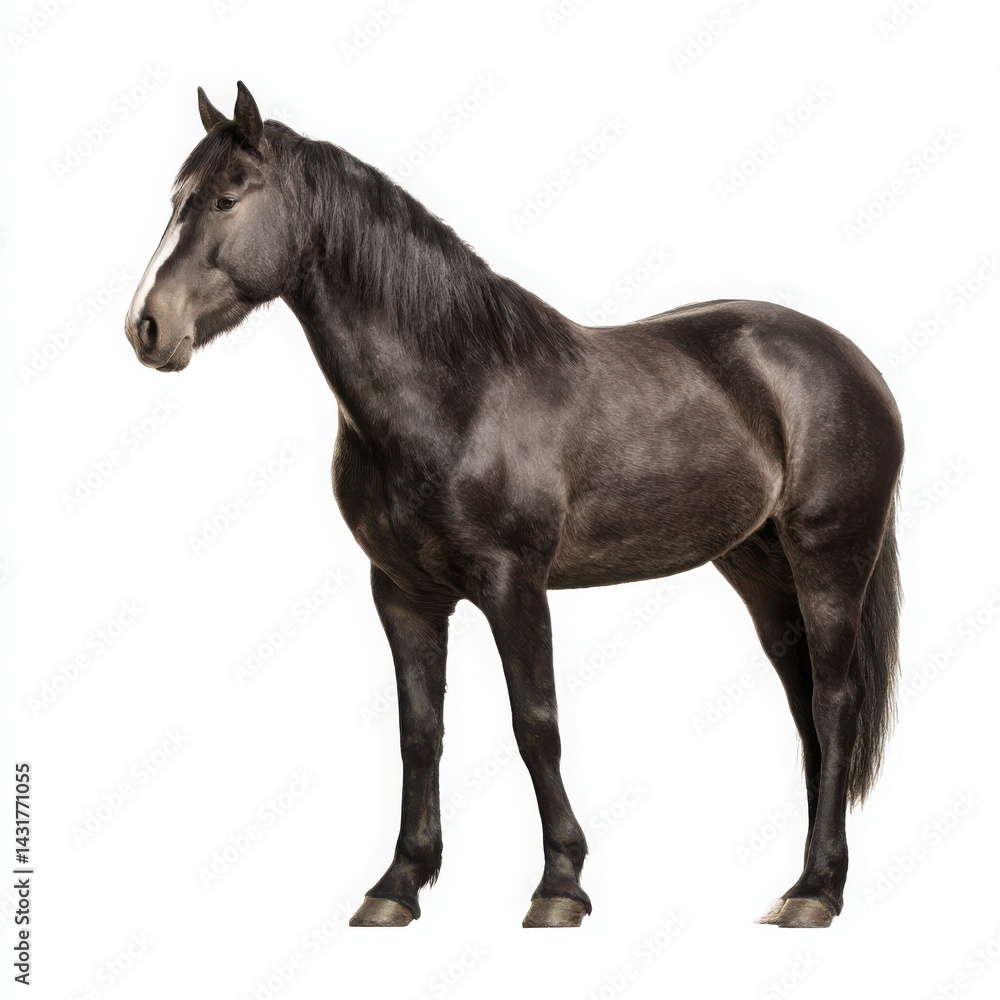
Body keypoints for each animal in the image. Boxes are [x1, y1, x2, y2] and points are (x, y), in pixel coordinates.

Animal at [124, 82, 903, 930]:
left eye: (226, 199)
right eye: (175, 200)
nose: (147, 326)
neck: (456, 386)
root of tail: (850, 360)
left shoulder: (514, 585)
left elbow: (536, 725)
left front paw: (559, 885)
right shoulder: (402, 594)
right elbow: (419, 733)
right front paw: (398, 883)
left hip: (829, 556)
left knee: (835, 702)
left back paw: (816, 891)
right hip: (760, 569)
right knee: (805, 708)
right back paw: (804, 879)